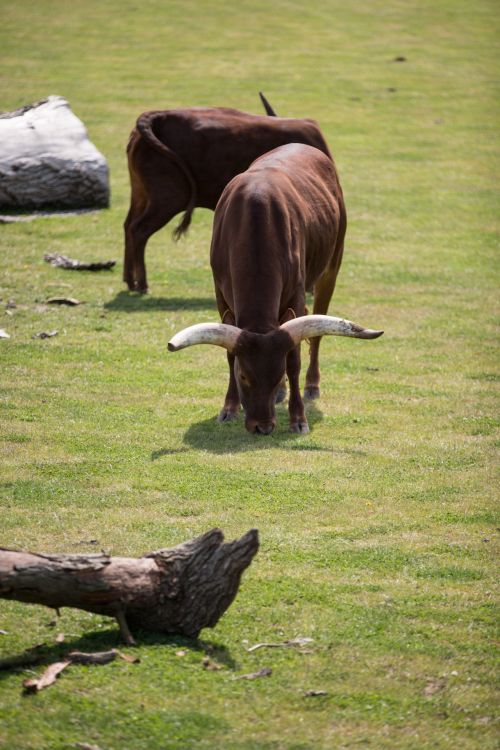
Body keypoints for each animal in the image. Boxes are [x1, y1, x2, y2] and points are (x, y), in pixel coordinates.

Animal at [122, 94, 332, 294]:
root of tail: (157, 116)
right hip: (169, 199)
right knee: (139, 230)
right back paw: (142, 284)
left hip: (141, 195)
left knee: (128, 226)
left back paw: (129, 280)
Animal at [168, 145, 382, 438]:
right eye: (243, 376)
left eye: (278, 373)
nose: (263, 427)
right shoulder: (221, 296)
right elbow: (229, 354)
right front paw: (229, 408)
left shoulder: (298, 297)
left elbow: (294, 358)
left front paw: (298, 419)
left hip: (331, 266)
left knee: (316, 337)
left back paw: (311, 386)